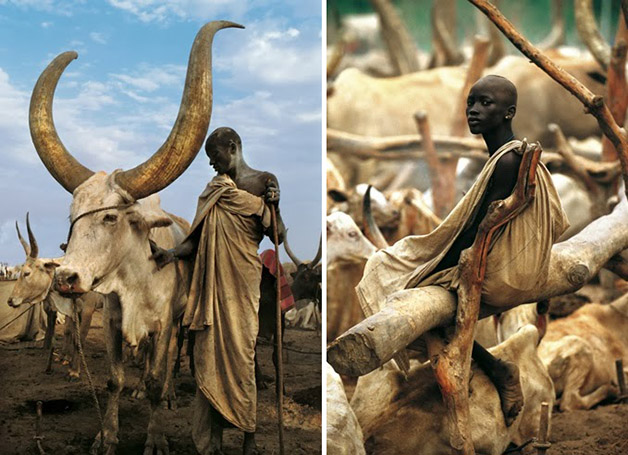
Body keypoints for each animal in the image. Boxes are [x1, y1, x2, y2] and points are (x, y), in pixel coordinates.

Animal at [28, 19, 242, 454]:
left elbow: (158, 377)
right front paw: (106, 436)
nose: (66, 278)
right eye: (72, 216)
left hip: (179, 320)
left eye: (111, 217)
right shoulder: (111, 320)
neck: (136, 279)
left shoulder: (163, 324)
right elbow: (114, 379)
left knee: (167, 362)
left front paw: (155, 436)